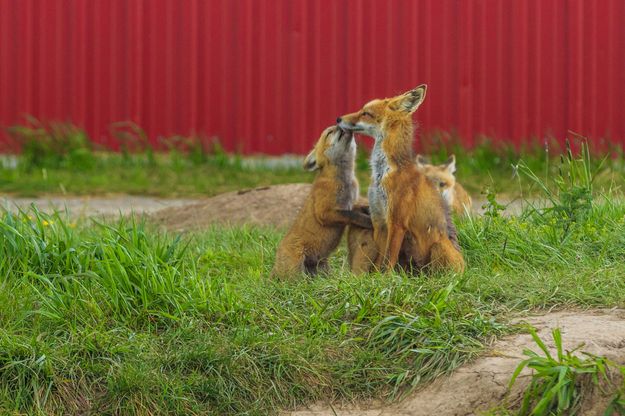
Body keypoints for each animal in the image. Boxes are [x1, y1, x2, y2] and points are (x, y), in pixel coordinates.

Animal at [270, 125, 370, 278]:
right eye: (330, 132)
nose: (339, 122)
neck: (344, 180)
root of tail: (275, 265)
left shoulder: (350, 203)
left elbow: (358, 210)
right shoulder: (325, 212)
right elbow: (353, 216)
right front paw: (369, 222)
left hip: (322, 267)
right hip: (297, 268)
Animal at [336, 85, 464, 272]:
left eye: (366, 113)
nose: (338, 118)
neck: (382, 174)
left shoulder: (397, 222)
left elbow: (389, 259)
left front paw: (386, 277)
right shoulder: (380, 221)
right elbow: (379, 259)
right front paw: (374, 276)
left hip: (437, 246)